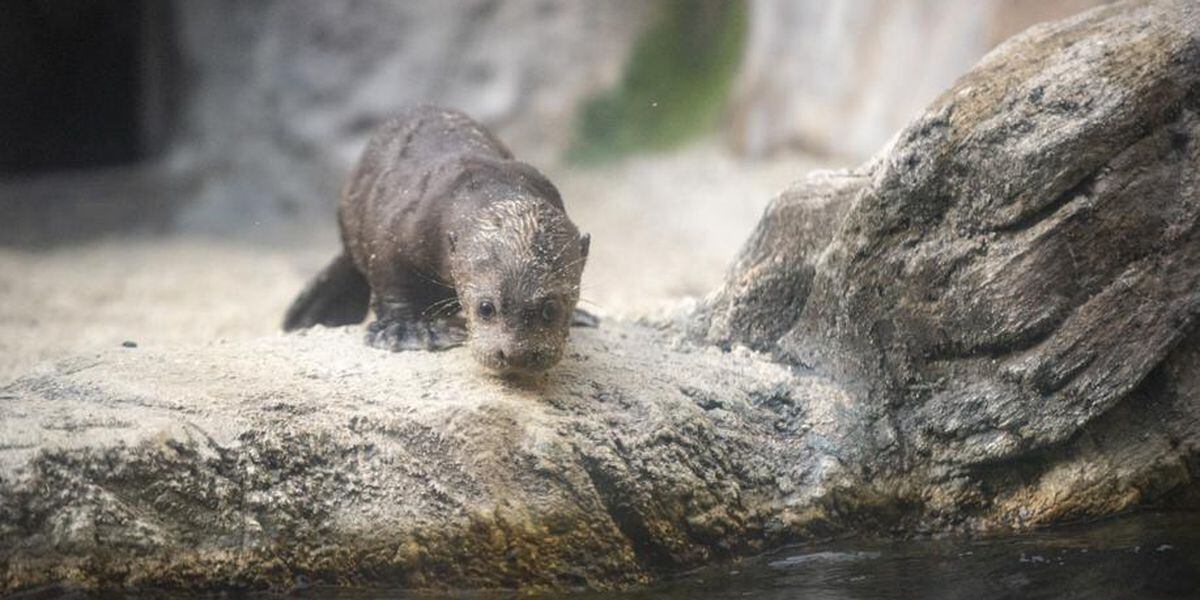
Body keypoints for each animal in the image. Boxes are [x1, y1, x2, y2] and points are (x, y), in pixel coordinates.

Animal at [285, 105, 595, 372]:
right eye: (486, 308)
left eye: (551, 308)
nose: (517, 356)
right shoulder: (394, 232)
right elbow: (392, 281)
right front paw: (407, 331)